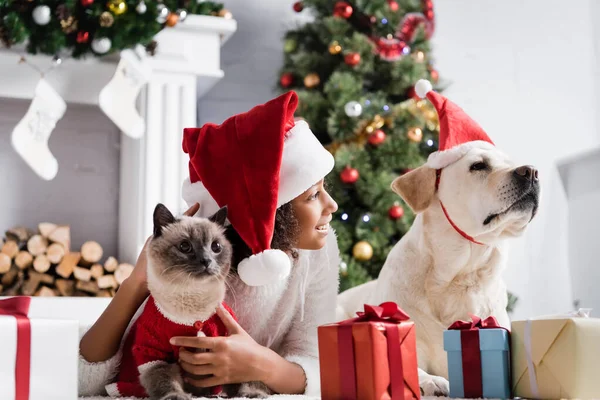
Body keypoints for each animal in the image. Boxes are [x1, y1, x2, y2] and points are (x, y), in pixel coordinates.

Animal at [338, 80, 540, 394]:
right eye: (478, 165)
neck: (459, 274)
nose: (531, 171)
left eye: (512, 162)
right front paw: (430, 381)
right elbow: (408, 367)